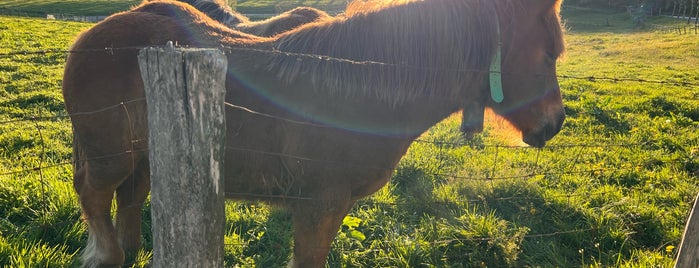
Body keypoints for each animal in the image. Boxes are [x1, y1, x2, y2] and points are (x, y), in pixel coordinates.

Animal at [63, 0, 568, 266]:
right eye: (548, 54)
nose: (554, 123)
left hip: (144, 159)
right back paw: (105, 254)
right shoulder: (319, 204)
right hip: (109, 157)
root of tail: (93, 36)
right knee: (94, 196)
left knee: (128, 198)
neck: (357, 91)